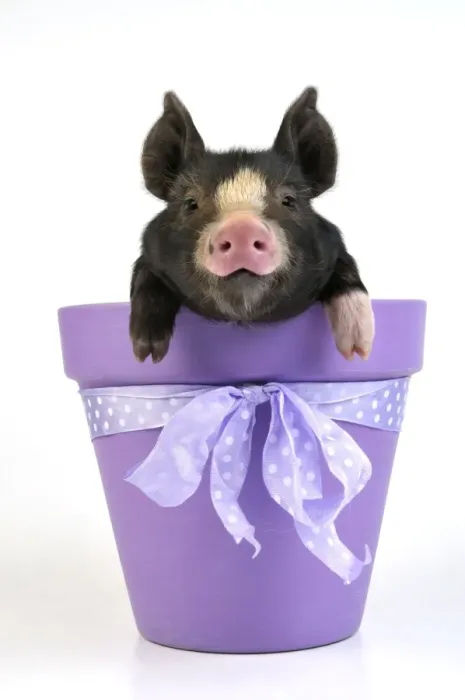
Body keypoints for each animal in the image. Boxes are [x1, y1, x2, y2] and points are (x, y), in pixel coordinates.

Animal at [130, 88, 374, 363]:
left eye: (289, 200)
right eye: (190, 203)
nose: (241, 226)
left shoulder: (333, 246)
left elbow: (346, 270)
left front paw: (359, 351)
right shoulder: (149, 254)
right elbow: (147, 278)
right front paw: (146, 355)